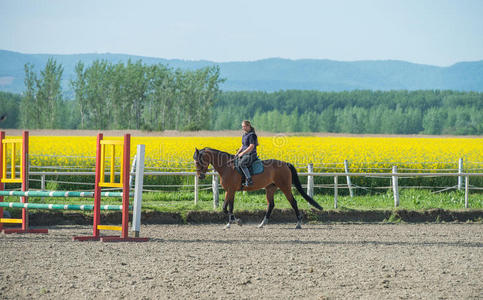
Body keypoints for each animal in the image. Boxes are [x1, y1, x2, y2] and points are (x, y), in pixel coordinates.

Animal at [192, 146, 322, 229]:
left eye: (199, 161)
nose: (200, 176)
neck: (227, 167)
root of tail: (285, 163)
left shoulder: (231, 190)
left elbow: (226, 208)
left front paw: (237, 222)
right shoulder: (229, 191)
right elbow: (229, 207)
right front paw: (229, 224)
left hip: (285, 187)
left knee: (293, 202)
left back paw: (298, 224)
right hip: (270, 188)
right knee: (271, 205)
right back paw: (262, 224)